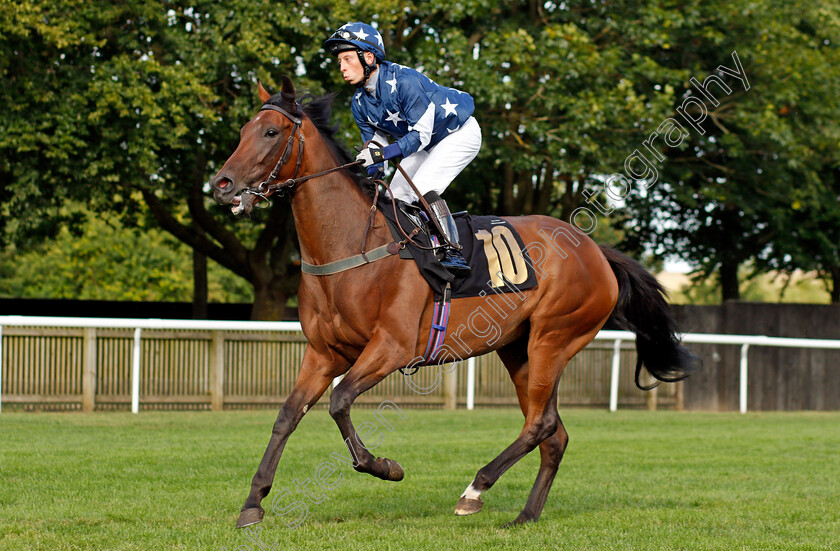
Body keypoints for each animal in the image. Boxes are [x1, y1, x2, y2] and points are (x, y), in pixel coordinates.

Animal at [212, 75, 704, 528]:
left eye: (271, 132)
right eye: (243, 129)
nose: (221, 184)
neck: (350, 245)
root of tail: (595, 251)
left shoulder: (391, 347)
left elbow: (340, 401)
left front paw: (385, 467)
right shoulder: (322, 353)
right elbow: (287, 415)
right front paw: (253, 503)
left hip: (554, 338)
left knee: (540, 425)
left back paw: (474, 489)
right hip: (519, 349)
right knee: (554, 432)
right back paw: (525, 515)